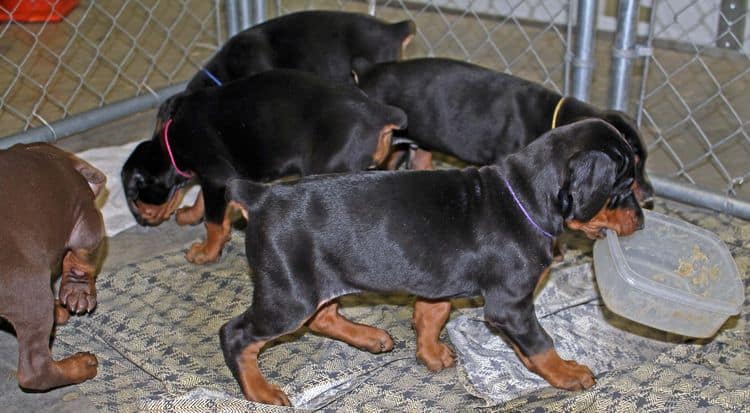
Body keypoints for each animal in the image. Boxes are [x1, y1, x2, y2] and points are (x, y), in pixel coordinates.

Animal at [0, 142, 106, 390]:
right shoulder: (88, 220)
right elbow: (81, 258)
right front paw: (79, 293)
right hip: (31, 294)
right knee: (34, 371)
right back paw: (81, 365)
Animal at [122, 69, 408, 262]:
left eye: (134, 199)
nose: (142, 221)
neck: (171, 142)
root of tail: (375, 111)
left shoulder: (216, 173)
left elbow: (214, 222)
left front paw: (206, 253)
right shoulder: (214, 176)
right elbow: (204, 200)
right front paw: (191, 214)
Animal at [222, 117, 648, 404]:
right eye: (624, 186)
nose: (642, 221)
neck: (523, 196)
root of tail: (261, 197)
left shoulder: (439, 280)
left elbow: (433, 314)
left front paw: (431, 354)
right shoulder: (511, 305)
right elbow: (540, 342)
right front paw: (567, 373)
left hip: (317, 279)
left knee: (322, 316)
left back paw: (370, 337)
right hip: (289, 294)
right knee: (237, 334)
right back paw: (260, 391)